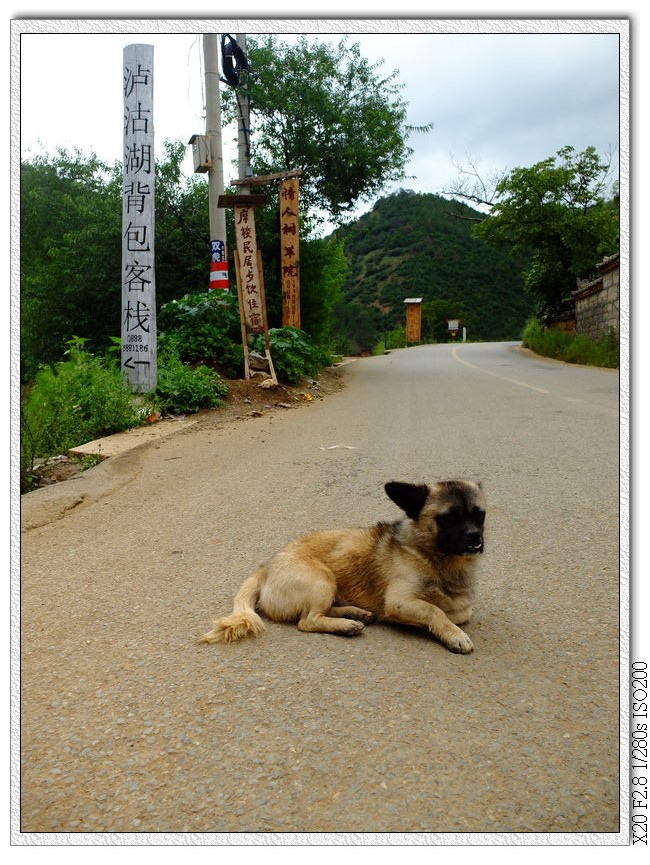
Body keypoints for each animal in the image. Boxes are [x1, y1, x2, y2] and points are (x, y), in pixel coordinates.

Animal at [200, 480, 484, 656]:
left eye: (479, 515)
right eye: (448, 518)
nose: (475, 538)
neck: (434, 558)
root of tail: (266, 566)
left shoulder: (458, 604)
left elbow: (459, 611)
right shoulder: (399, 602)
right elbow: (436, 611)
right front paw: (454, 634)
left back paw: (355, 614)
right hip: (322, 580)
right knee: (308, 621)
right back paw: (346, 626)